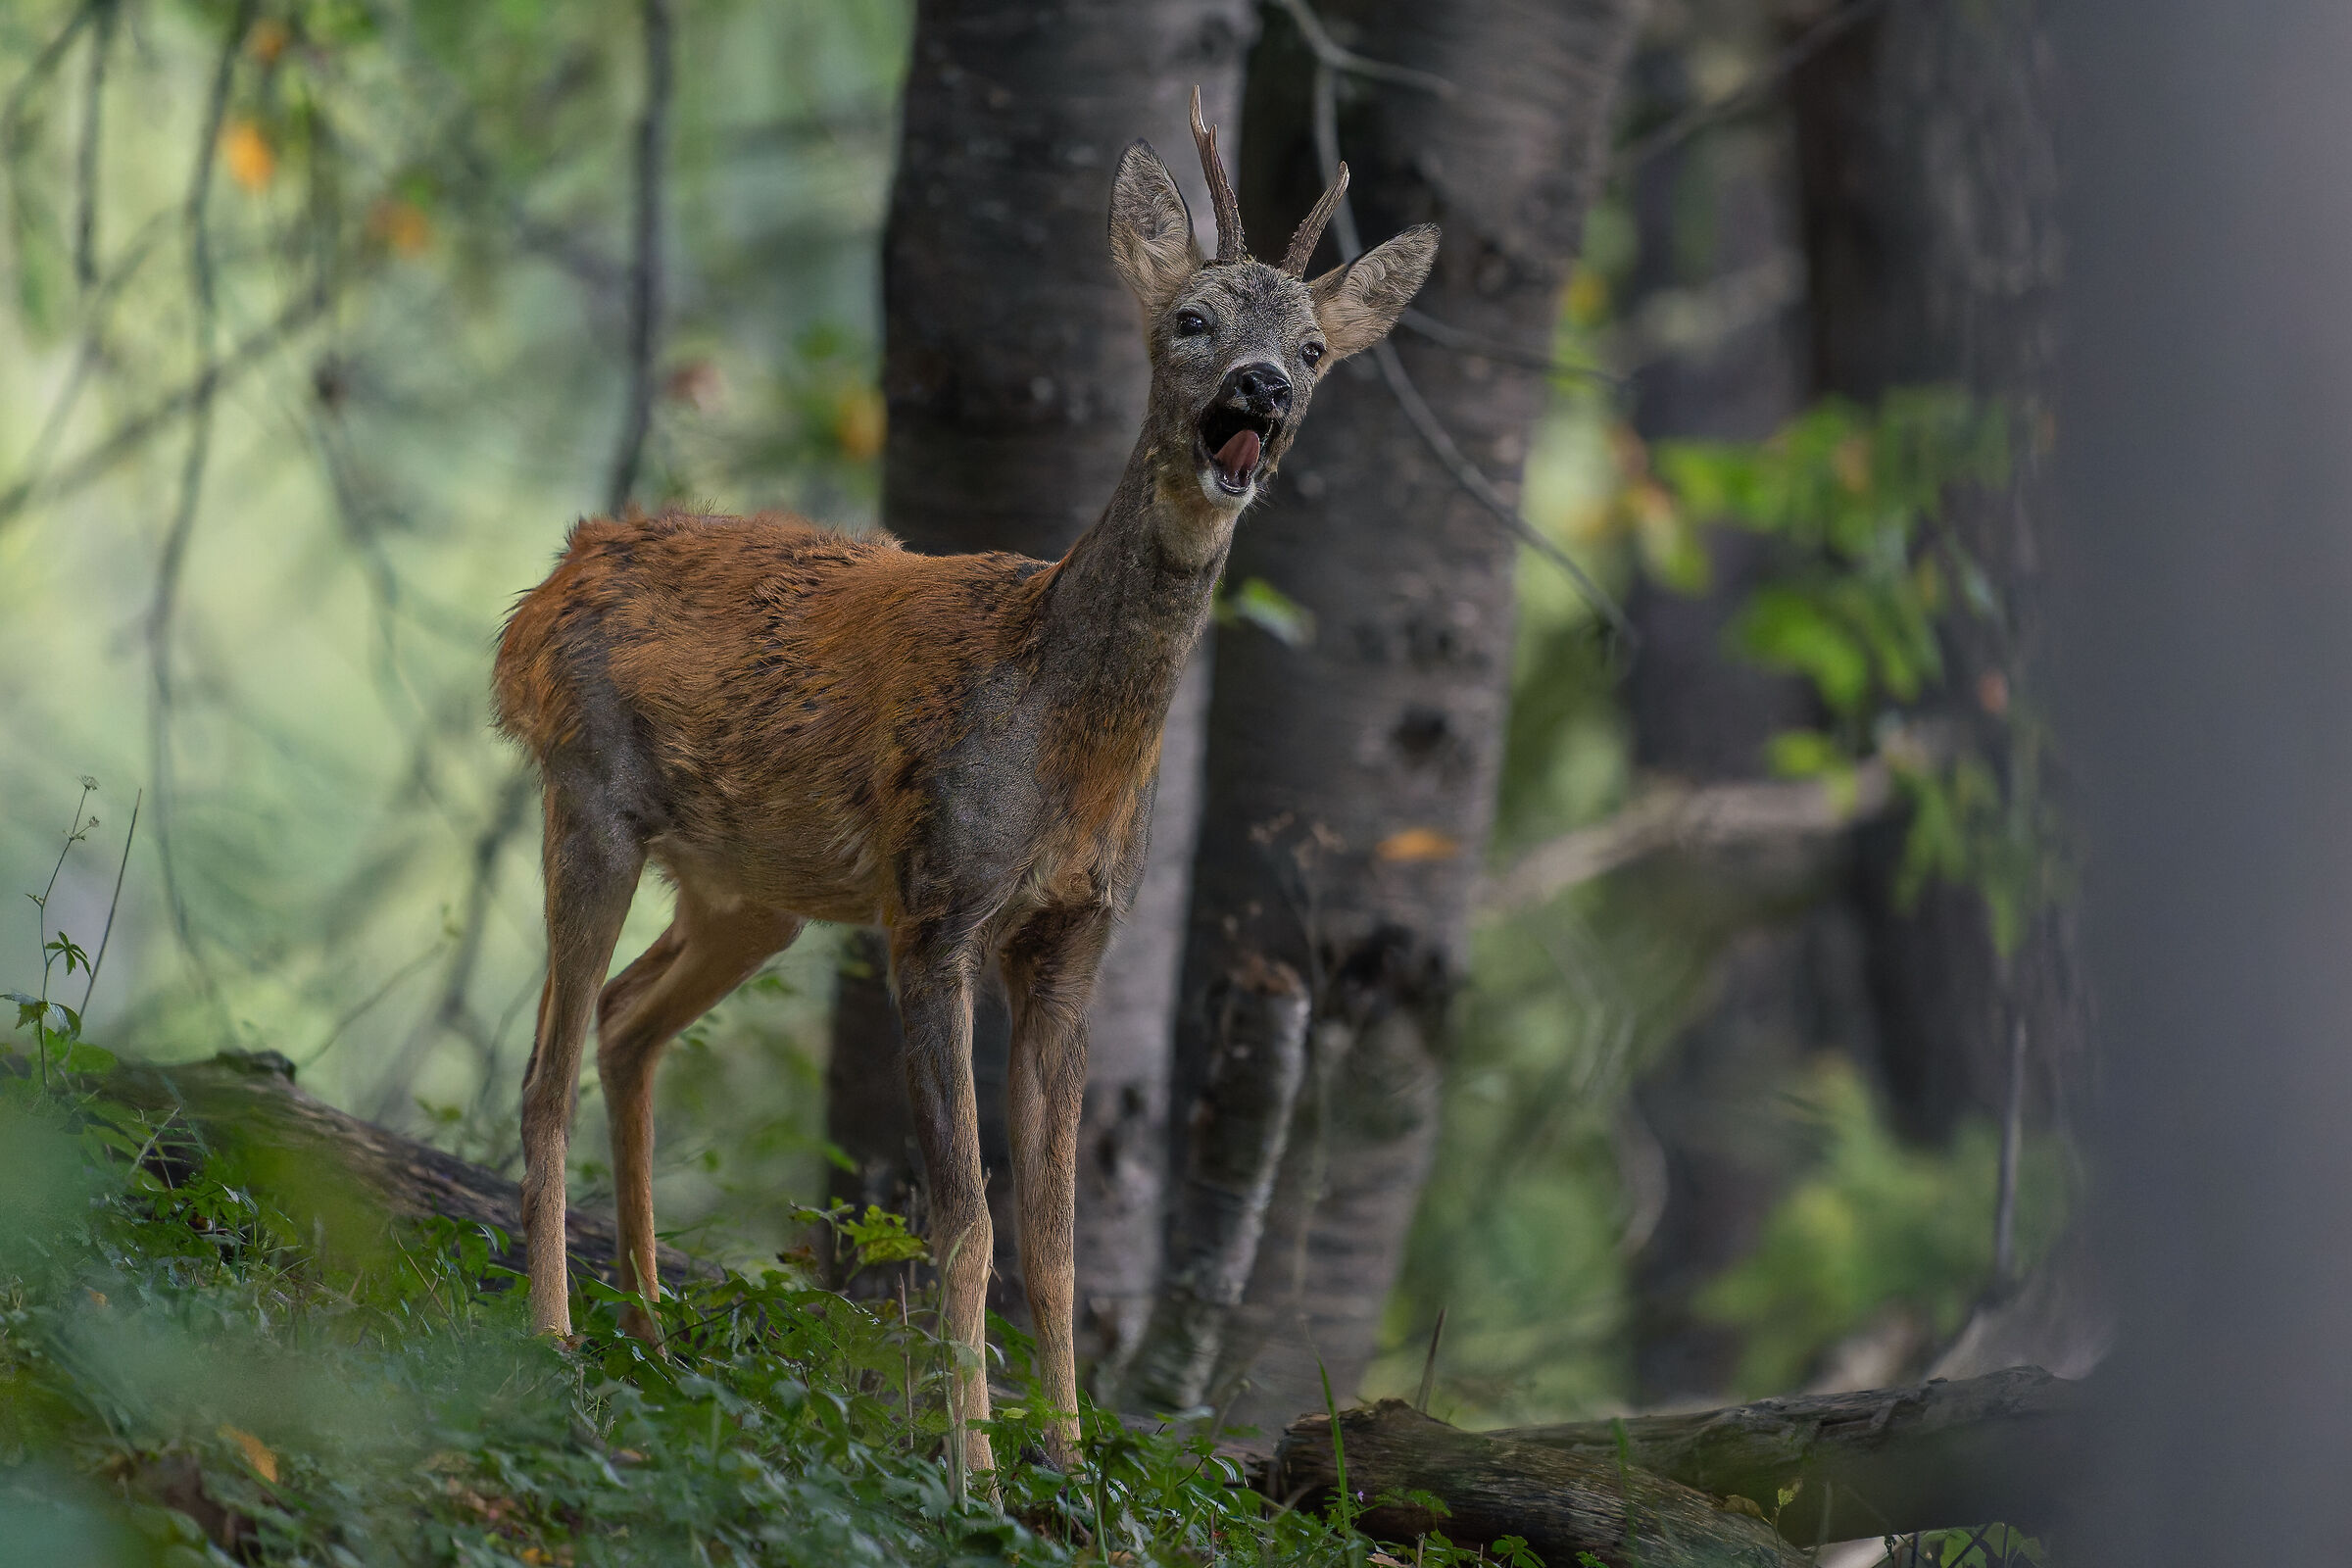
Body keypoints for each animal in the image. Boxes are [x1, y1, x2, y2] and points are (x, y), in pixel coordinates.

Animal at [491, 88, 1437, 1478]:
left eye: (1316, 349)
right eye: (1192, 320)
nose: (1258, 386)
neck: (1059, 728)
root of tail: (545, 586)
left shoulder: (1074, 935)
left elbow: (1056, 1237)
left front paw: (1075, 1469)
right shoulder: (933, 908)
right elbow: (966, 1214)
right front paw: (976, 1467)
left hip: (749, 891)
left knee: (624, 1023)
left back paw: (653, 1335)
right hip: (589, 796)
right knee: (544, 1068)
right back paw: (556, 1340)